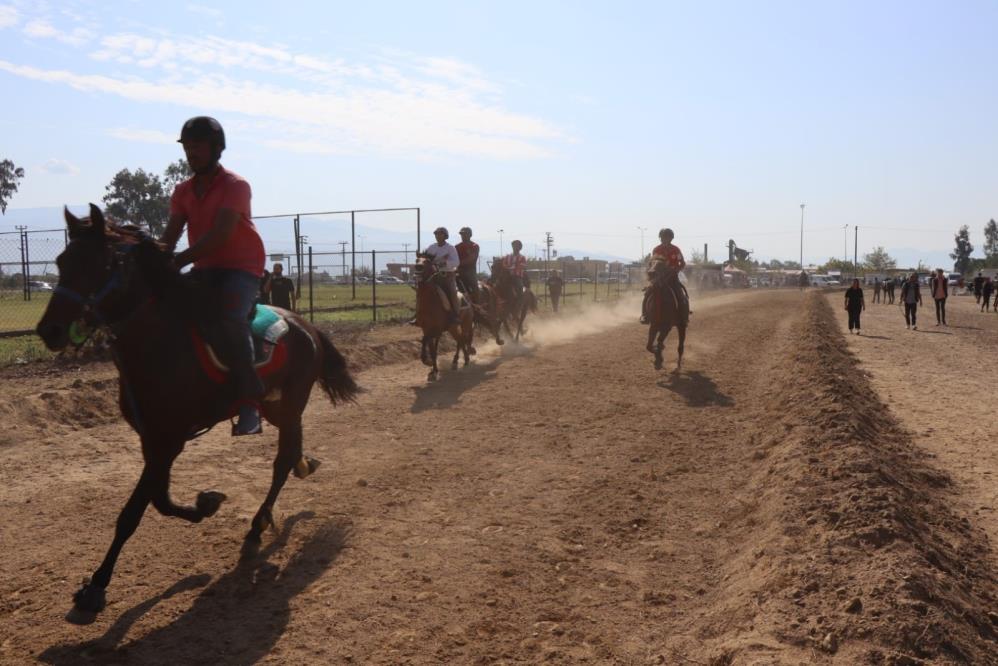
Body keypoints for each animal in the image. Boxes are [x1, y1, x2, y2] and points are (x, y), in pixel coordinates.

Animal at [35, 205, 360, 616]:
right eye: (62, 261)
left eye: (101, 263)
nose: (50, 330)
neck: (159, 343)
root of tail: (307, 326)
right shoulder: (153, 440)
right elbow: (159, 500)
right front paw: (205, 504)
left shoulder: (169, 441)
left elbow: (132, 513)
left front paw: (96, 586)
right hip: (275, 406)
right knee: (292, 451)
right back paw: (302, 468)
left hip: (290, 402)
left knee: (281, 462)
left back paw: (257, 527)